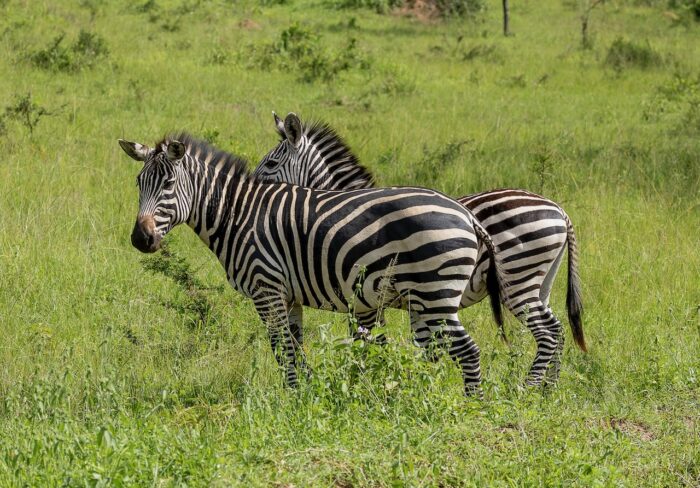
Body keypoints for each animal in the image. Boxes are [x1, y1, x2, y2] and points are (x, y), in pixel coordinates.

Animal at [118, 133, 505, 396]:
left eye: (169, 184)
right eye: (138, 183)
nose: (140, 239)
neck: (236, 215)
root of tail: (466, 214)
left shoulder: (266, 287)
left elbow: (282, 348)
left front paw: (291, 397)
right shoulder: (288, 296)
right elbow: (294, 348)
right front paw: (303, 391)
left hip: (434, 293)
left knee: (467, 351)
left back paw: (471, 405)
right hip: (425, 298)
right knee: (438, 350)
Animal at [253, 112, 586, 386]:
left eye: (270, 164)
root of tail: (559, 211)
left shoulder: (365, 300)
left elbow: (371, 344)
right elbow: (416, 347)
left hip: (517, 280)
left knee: (547, 333)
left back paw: (528, 389)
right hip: (540, 282)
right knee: (557, 331)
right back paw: (548, 390)